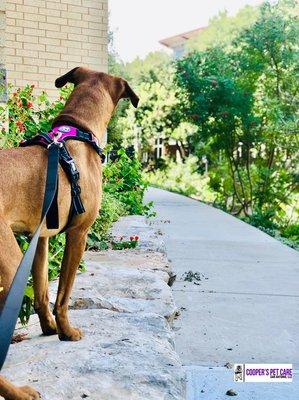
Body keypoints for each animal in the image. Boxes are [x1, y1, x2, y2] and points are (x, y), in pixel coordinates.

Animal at [0, 67, 138, 398]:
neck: (77, 132)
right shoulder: (79, 234)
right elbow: (63, 292)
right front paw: (66, 331)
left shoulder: (40, 239)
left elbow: (41, 291)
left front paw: (49, 328)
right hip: (9, 269)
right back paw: (19, 392)